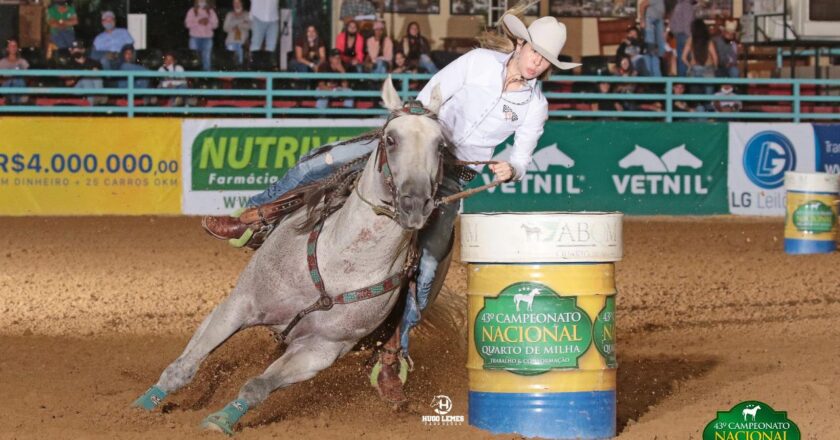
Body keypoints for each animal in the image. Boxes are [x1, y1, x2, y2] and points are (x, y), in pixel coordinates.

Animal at [132, 78, 446, 434]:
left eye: (440, 146)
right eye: (391, 139)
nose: (415, 204)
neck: (342, 264)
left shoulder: (320, 350)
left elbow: (258, 386)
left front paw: (221, 420)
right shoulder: (239, 304)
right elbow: (185, 365)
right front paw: (141, 408)